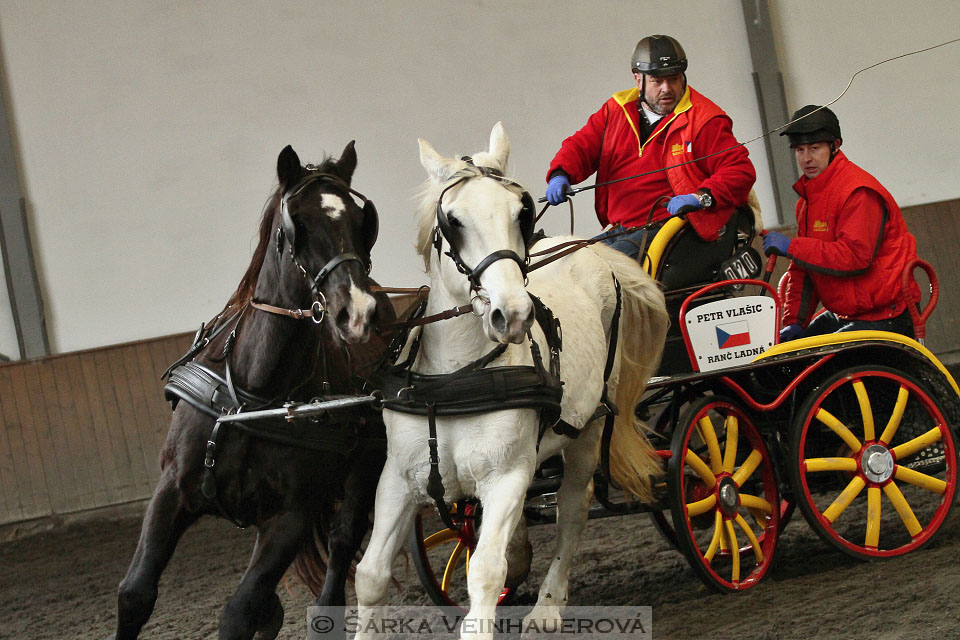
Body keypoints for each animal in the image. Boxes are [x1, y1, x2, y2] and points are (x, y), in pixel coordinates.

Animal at [115, 144, 390, 640]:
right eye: (295, 224)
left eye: (363, 220)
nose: (359, 313)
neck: (252, 396)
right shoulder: (172, 488)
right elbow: (135, 594)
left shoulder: (291, 516)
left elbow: (238, 612)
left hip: (366, 466)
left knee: (341, 547)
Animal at [354, 122, 668, 636]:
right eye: (453, 221)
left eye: (521, 212)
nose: (514, 314)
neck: (456, 381)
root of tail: (591, 250)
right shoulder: (398, 479)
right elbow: (371, 575)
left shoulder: (508, 475)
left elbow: (485, 569)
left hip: (590, 426)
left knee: (572, 509)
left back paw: (547, 607)